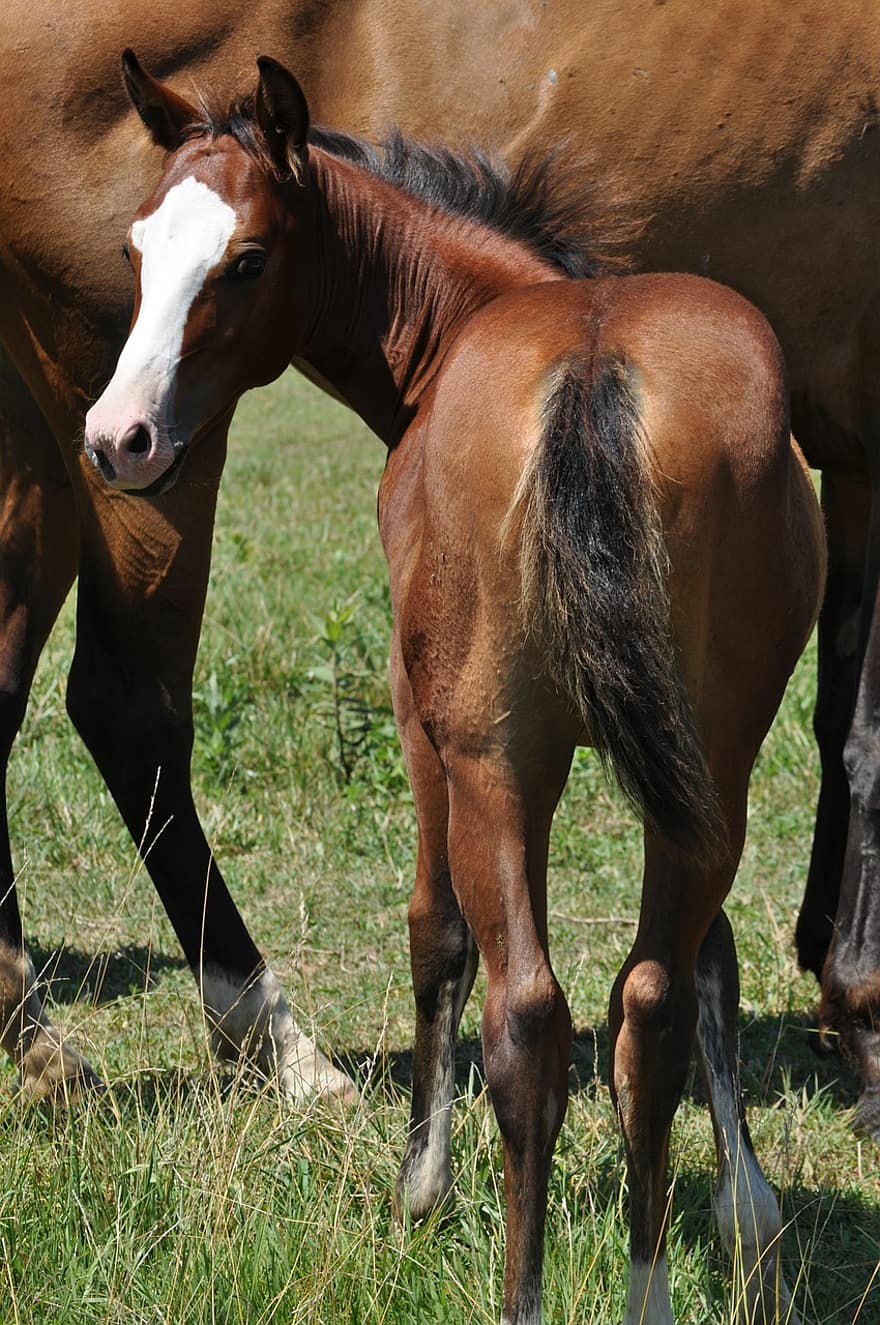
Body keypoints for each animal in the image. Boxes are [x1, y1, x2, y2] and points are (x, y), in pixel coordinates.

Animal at [86, 54, 826, 1325]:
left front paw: (418, 1190)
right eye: (138, 249)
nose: (117, 438)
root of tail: (592, 368)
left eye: (246, 259)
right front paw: (746, 1206)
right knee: (648, 1000)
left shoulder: (417, 712)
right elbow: (715, 958)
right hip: (709, 759)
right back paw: (645, 1285)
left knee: (526, 1012)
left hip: (493, 756)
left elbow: (434, 932)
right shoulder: (681, 765)